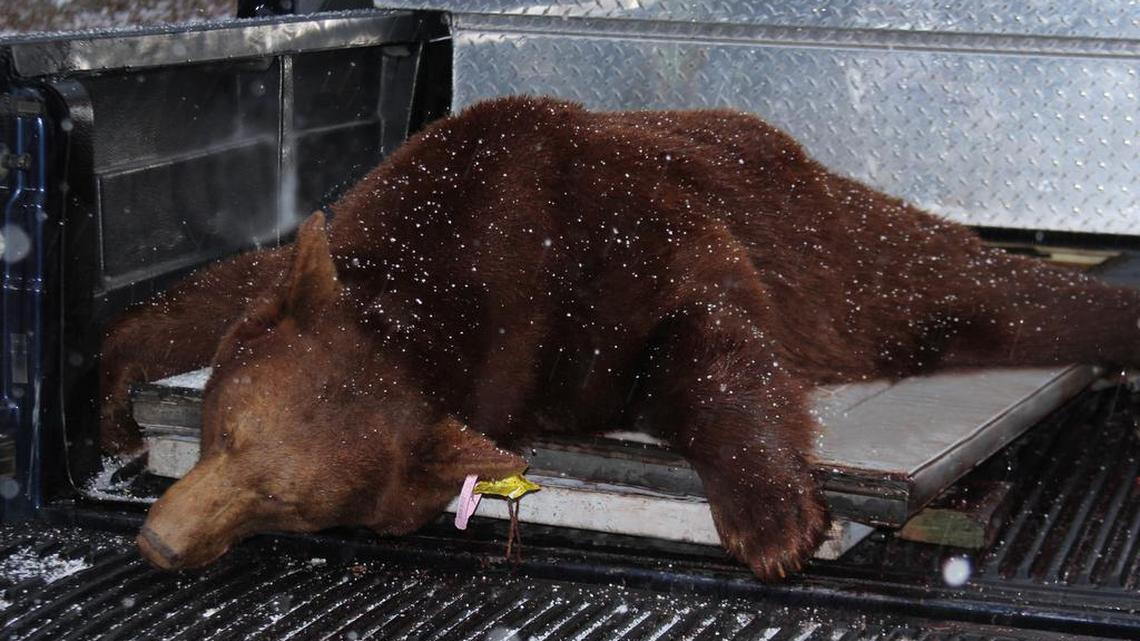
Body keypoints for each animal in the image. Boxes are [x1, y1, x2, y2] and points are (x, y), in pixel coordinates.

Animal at [103, 96, 1140, 581]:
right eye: (223, 433)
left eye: (288, 500)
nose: (158, 540)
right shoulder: (358, 233)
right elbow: (229, 282)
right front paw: (111, 388)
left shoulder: (620, 247)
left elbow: (709, 341)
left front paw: (774, 519)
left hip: (846, 253)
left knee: (986, 288)